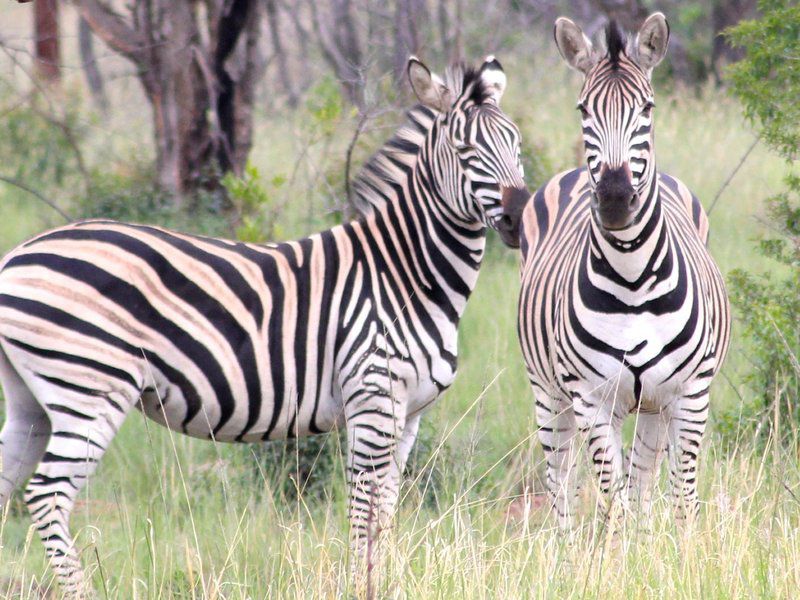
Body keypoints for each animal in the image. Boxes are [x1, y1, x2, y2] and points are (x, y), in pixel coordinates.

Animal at [0, 57, 524, 596]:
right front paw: (361, 587)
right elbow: (364, 513)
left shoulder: (409, 415)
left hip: (32, 399)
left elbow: (386, 514)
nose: (519, 215)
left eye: (517, 145)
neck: (403, 274)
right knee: (47, 494)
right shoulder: (372, 403)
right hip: (89, 388)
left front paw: (384, 582)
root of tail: (17, 255)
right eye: (464, 151)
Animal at [520, 14, 732, 528]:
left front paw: (684, 550)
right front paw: (618, 552)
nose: (615, 197)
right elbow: (610, 504)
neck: (633, 279)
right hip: (549, 393)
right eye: (583, 109)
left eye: (647, 108)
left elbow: (682, 500)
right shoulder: (592, 399)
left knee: (644, 482)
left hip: (654, 405)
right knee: (562, 483)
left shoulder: (690, 394)